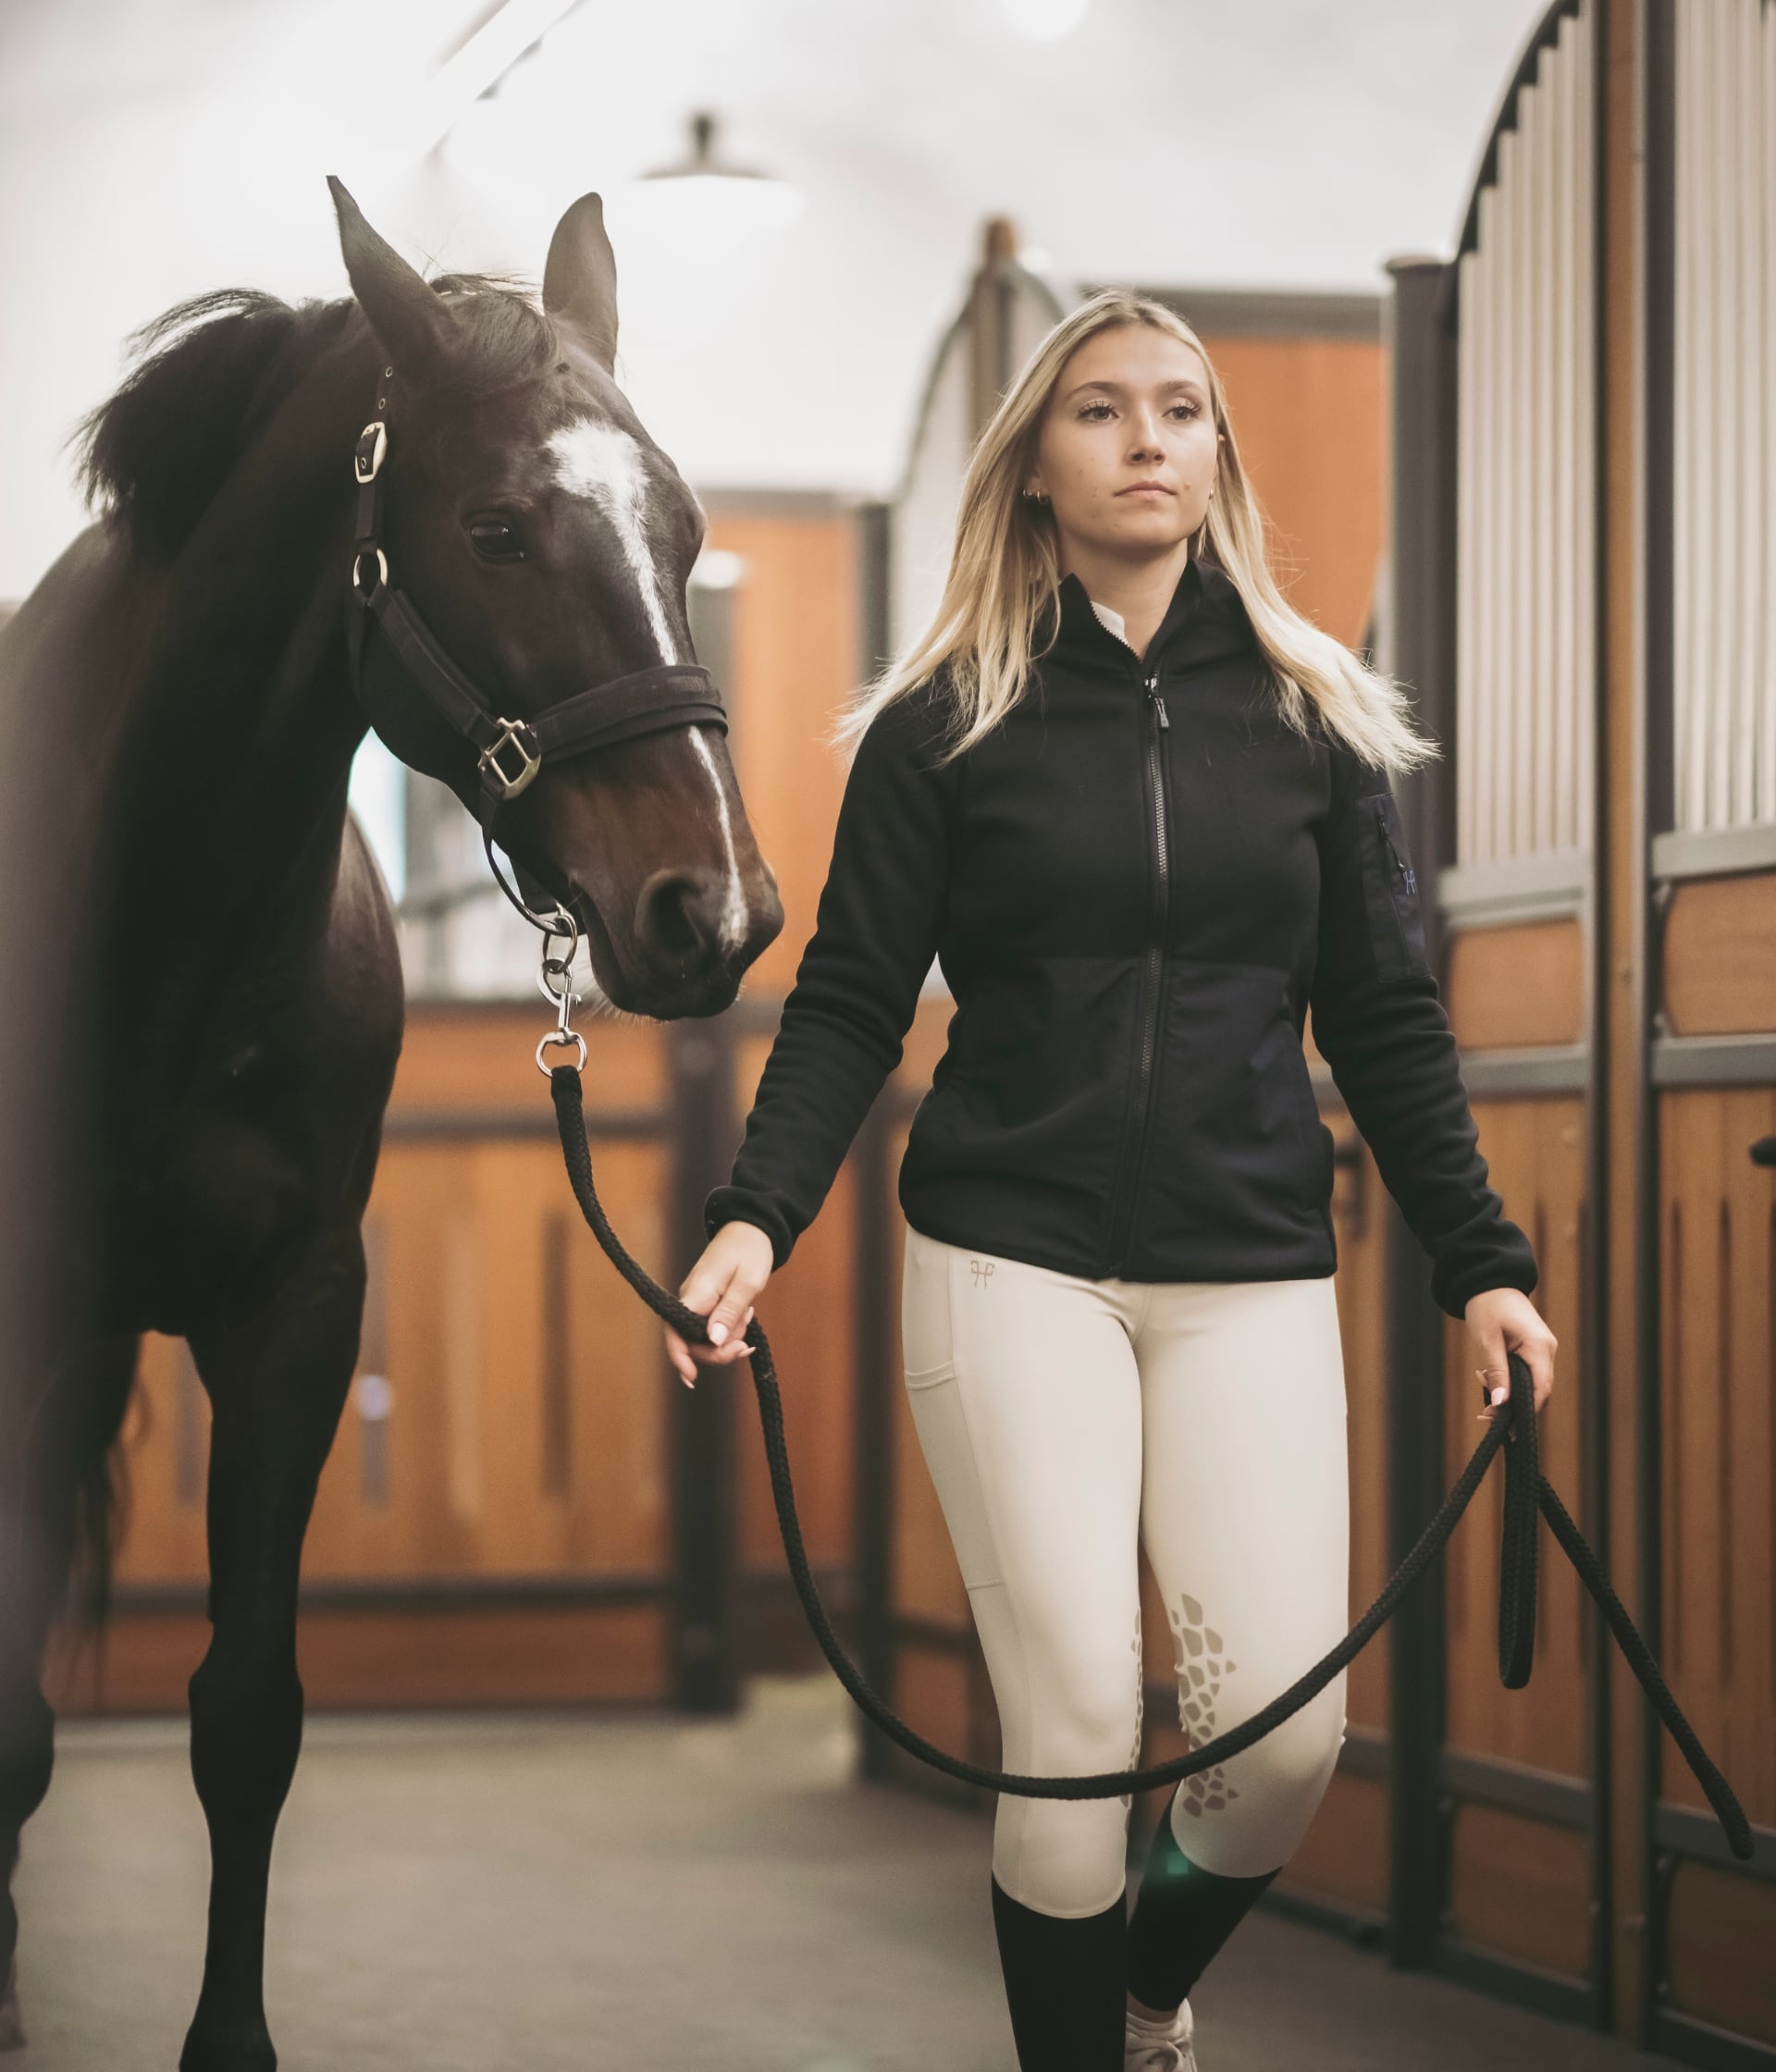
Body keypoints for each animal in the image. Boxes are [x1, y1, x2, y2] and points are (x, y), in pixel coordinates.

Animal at [0, 179, 783, 2070]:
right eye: (496, 529)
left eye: (682, 526)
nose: (716, 914)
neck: (160, 925)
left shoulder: (293, 1318)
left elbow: (248, 1716)